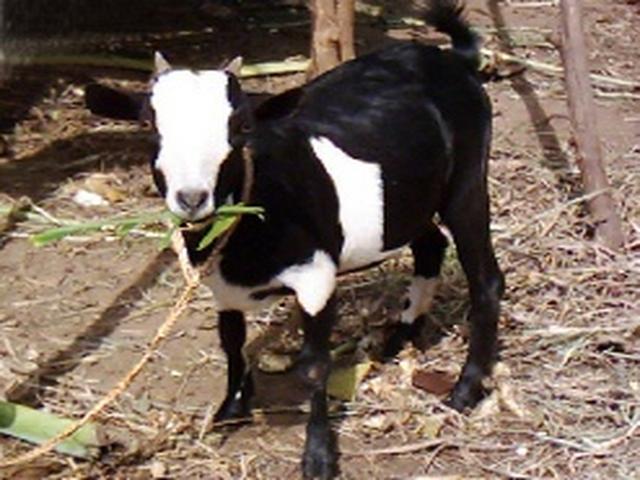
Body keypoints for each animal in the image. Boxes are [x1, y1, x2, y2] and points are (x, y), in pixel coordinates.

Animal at [85, 1, 504, 477]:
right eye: (148, 125)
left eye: (240, 126)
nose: (192, 198)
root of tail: (449, 59)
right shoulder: (223, 287)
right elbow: (231, 341)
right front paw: (231, 409)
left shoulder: (316, 277)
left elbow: (314, 368)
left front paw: (318, 455)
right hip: (408, 200)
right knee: (430, 244)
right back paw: (399, 337)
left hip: (467, 180)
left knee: (486, 279)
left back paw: (464, 391)